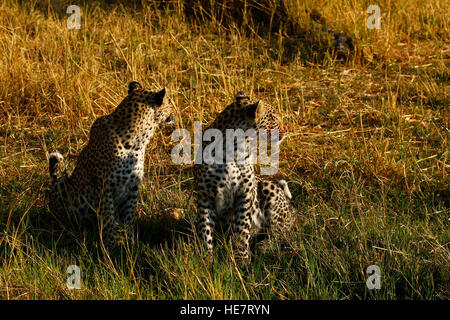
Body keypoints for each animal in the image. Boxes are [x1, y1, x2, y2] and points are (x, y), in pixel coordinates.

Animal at [48, 81, 174, 249]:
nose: (174, 110)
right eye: (170, 102)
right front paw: (110, 246)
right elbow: (108, 218)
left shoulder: (133, 187)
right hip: (62, 185)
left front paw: (130, 243)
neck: (137, 141)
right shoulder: (104, 187)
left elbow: (129, 218)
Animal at [194, 91, 284, 262]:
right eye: (274, 118)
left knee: (280, 233)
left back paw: (265, 247)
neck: (235, 149)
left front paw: (243, 260)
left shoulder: (245, 193)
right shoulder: (205, 196)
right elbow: (205, 230)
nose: (285, 130)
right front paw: (207, 260)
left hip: (267, 187)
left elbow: (242, 229)